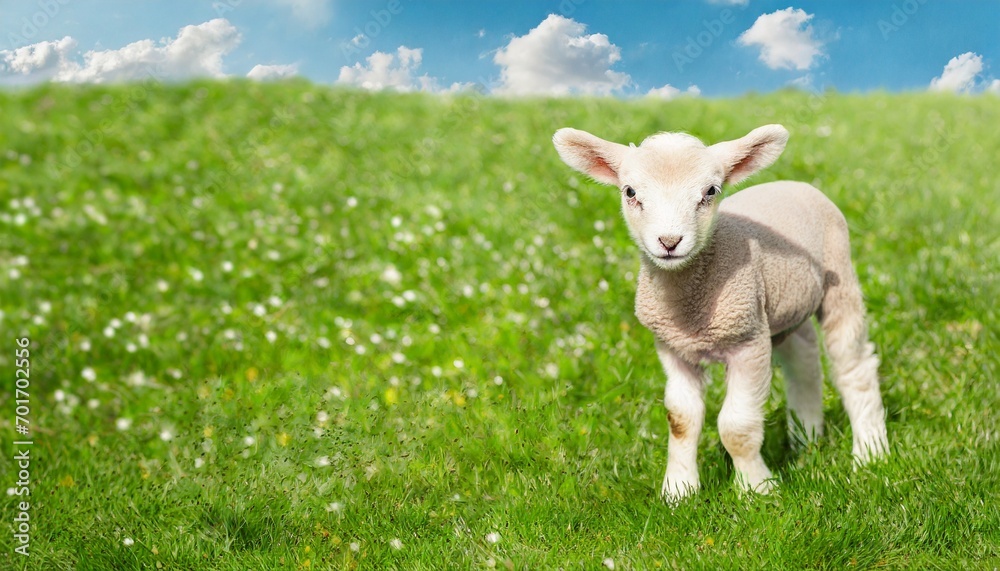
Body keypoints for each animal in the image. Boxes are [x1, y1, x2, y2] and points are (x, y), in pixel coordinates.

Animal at [552, 124, 889, 500]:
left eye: (710, 191)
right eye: (630, 192)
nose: (669, 242)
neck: (689, 309)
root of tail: (793, 184)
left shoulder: (748, 343)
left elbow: (736, 427)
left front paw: (756, 488)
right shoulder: (673, 349)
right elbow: (681, 420)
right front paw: (678, 490)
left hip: (838, 275)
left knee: (853, 365)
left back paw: (870, 453)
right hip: (783, 305)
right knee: (804, 361)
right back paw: (806, 438)